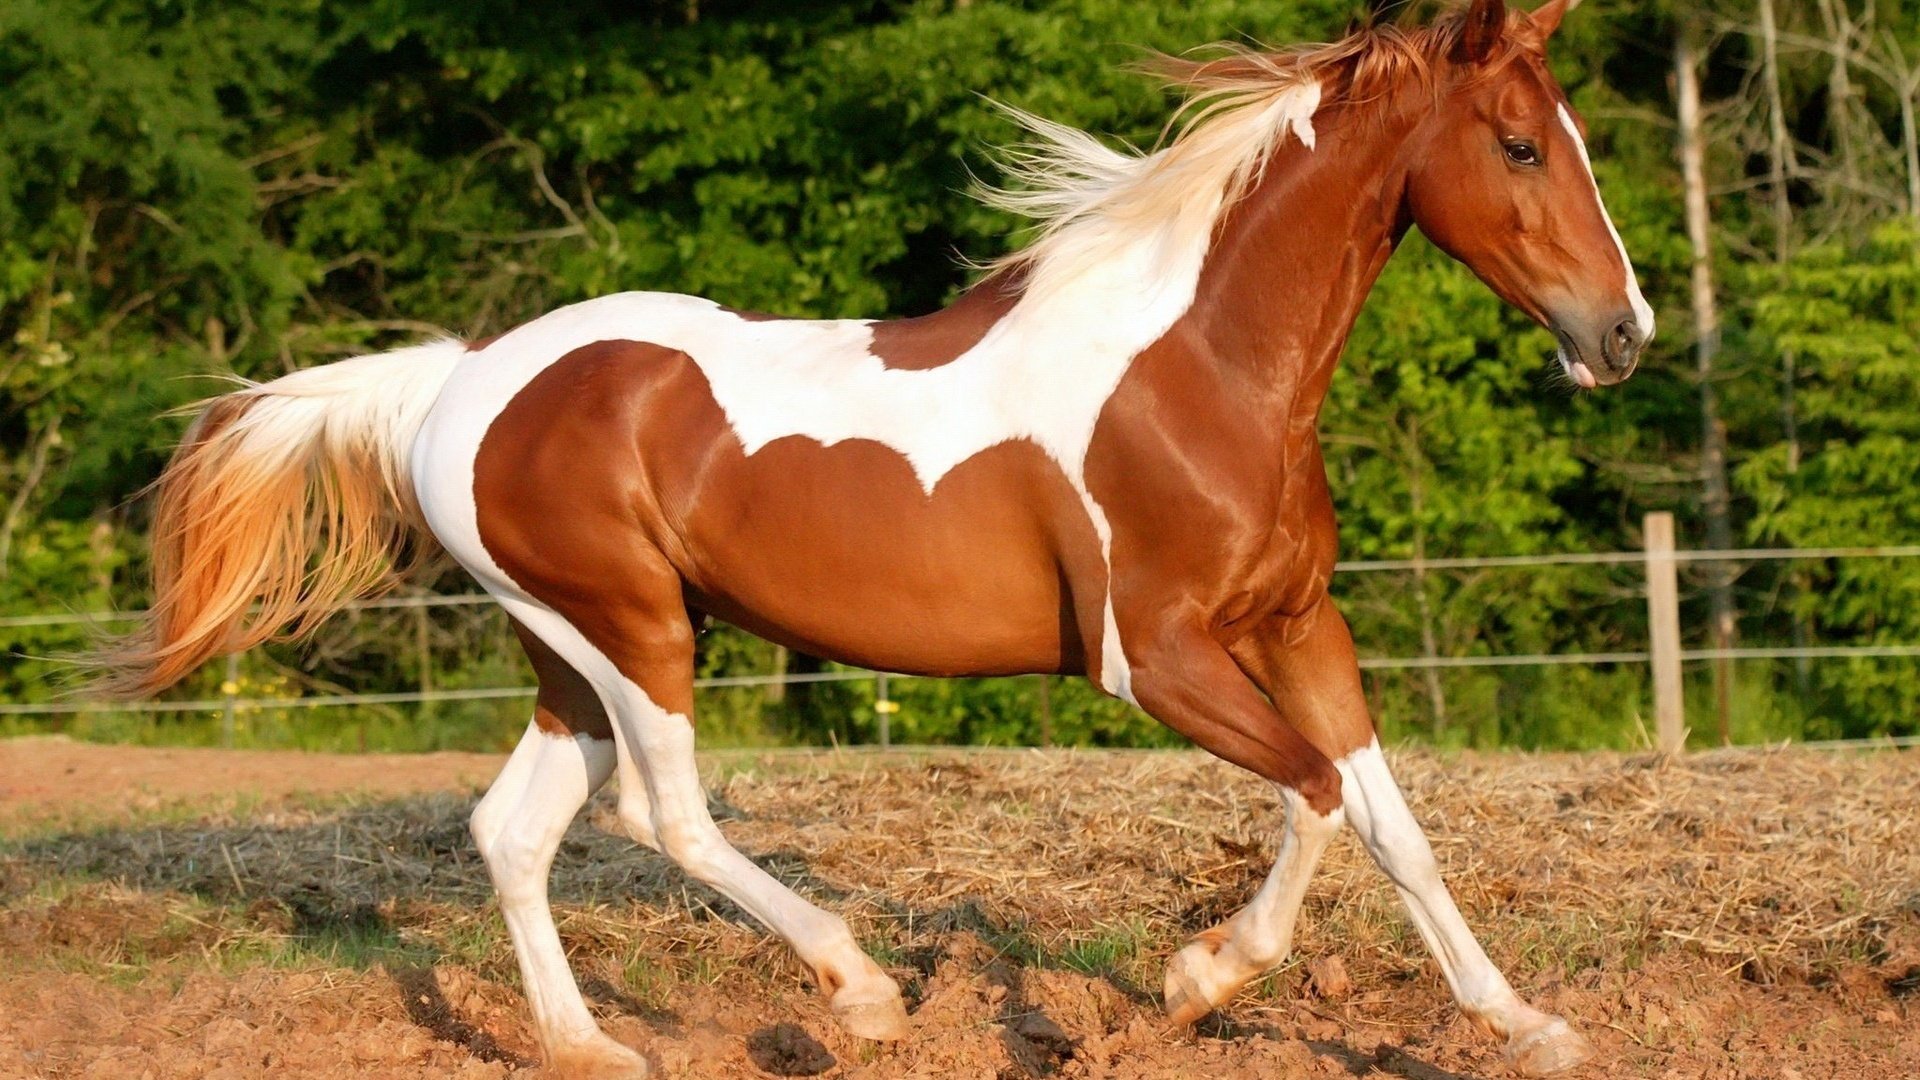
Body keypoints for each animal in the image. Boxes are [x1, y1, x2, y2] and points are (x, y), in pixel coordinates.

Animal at [95, 0, 1650, 1074]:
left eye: (1571, 141)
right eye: (1519, 144)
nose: (1621, 335)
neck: (1199, 370)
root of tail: (457, 378)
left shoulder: (1295, 624)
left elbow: (1395, 827)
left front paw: (1527, 1024)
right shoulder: (1152, 656)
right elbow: (1318, 797)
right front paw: (1198, 978)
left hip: (572, 651)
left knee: (514, 831)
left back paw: (592, 1046)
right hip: (631, 632)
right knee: (663, 817)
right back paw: (861, 993)